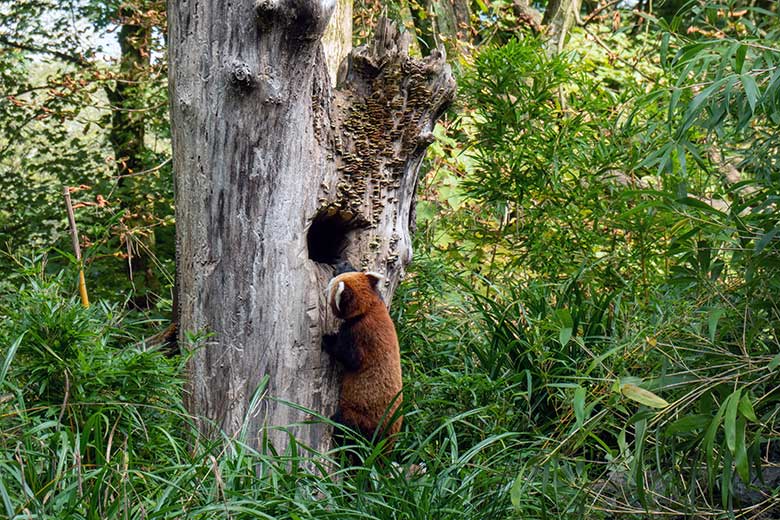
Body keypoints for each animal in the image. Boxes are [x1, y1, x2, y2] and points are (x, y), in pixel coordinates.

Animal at [322, 270, 402, 448]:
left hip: (361, 419)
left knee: (347, 428)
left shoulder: (358, 333)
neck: (368, 310)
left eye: (330, 286)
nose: (325, 289)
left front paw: (327, 340)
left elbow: (350, 358)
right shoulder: (381, 303)